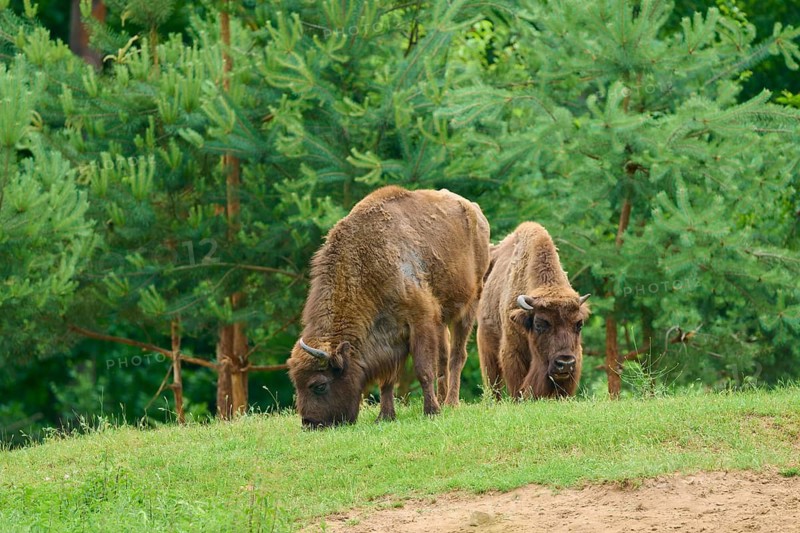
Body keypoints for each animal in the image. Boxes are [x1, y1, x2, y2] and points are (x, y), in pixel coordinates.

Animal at [288, 186, 491, 427]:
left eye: (319, 385)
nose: (310, 423)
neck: (366, 264)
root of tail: (475, 210)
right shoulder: (391, 337)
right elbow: (387, 379)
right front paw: (384, 416)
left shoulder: (420, 321)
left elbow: (423, 369)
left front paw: (431, 412)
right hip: (442, 320)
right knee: (443, 356)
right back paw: (443, 399)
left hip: (469, 305)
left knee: (457, 356)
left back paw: (450, 403)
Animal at [477, 222, 590, 399]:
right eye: (539, 324)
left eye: (579, 324)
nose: (564, 363)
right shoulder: (512, 352)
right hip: (486, 345)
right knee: (493, 383)